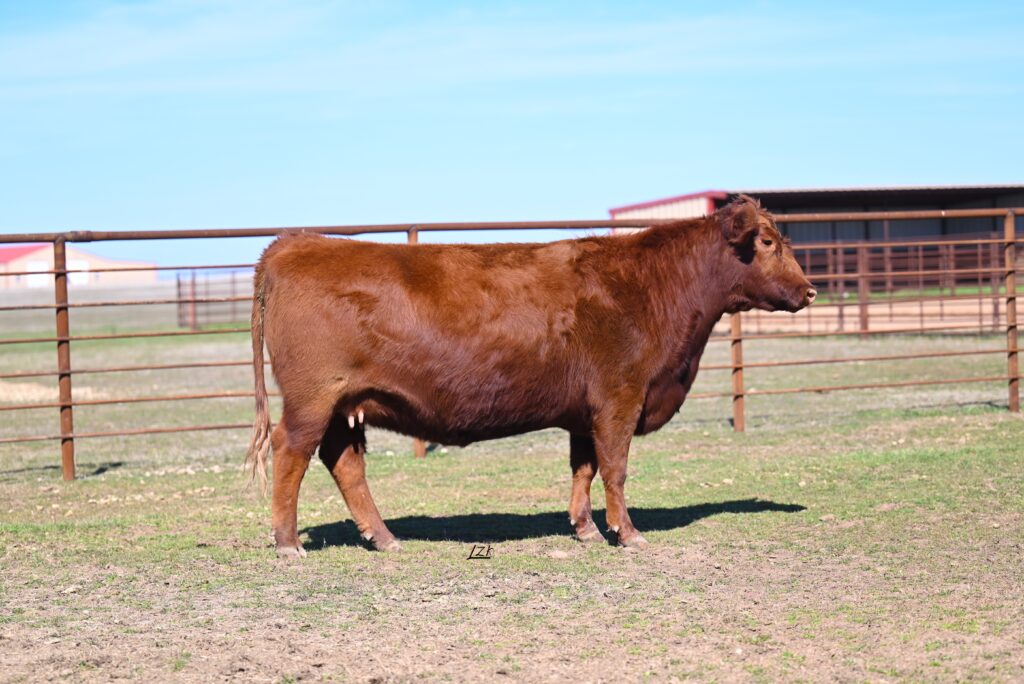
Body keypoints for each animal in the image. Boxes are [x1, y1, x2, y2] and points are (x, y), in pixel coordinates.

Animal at [247, 196, 815, 557]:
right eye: (767, 241)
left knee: (345, 464)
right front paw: (627, 533)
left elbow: (584, 469)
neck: (653, 285)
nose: (809, 290)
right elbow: (615, 469)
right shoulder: (619, 397)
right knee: (291, 453)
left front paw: (586, 529)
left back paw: (384, 539)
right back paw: (287, 543)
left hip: (345, 406)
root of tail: (293, 244)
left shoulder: (585, 412)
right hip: (312, 400)